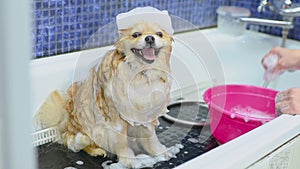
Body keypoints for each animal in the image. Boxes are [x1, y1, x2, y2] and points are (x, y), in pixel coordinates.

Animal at [35, 21, 173, 168]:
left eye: (159, 34)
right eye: (136, 34)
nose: (150, 38)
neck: (142, 74)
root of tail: (65, 118)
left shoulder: (145, 117)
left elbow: (151, 139)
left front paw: (161, 153)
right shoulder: (117, 123)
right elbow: (123, 145)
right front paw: (131, 161)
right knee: (74, 143)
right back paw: (93, 148)